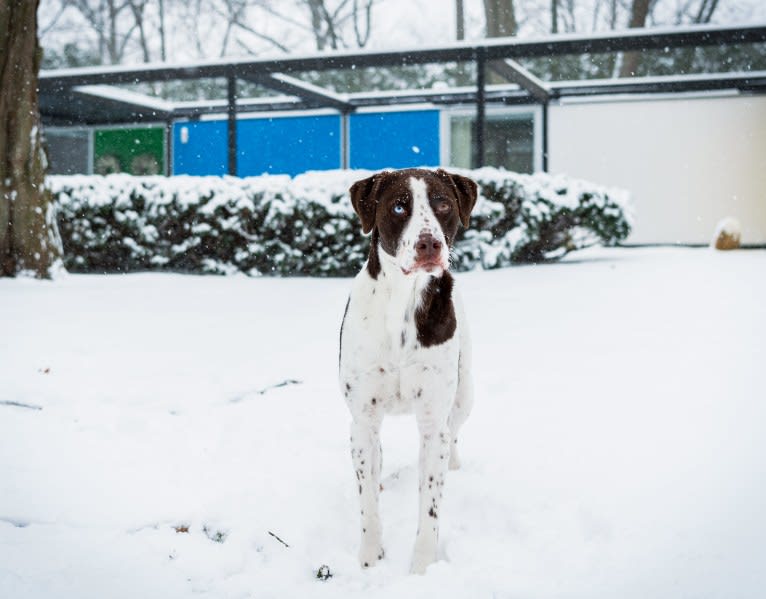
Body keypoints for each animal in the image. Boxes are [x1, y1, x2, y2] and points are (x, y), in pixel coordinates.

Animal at [340, 166, 476, 576]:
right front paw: (370, 555)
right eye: (399, 207)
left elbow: (430, 505)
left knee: (454, 431)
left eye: (443, 204)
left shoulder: (433, 421)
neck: (402, 299)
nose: (429, 244)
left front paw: (422, 566)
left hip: (464, 394)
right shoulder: (363, 418)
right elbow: (367, 499)